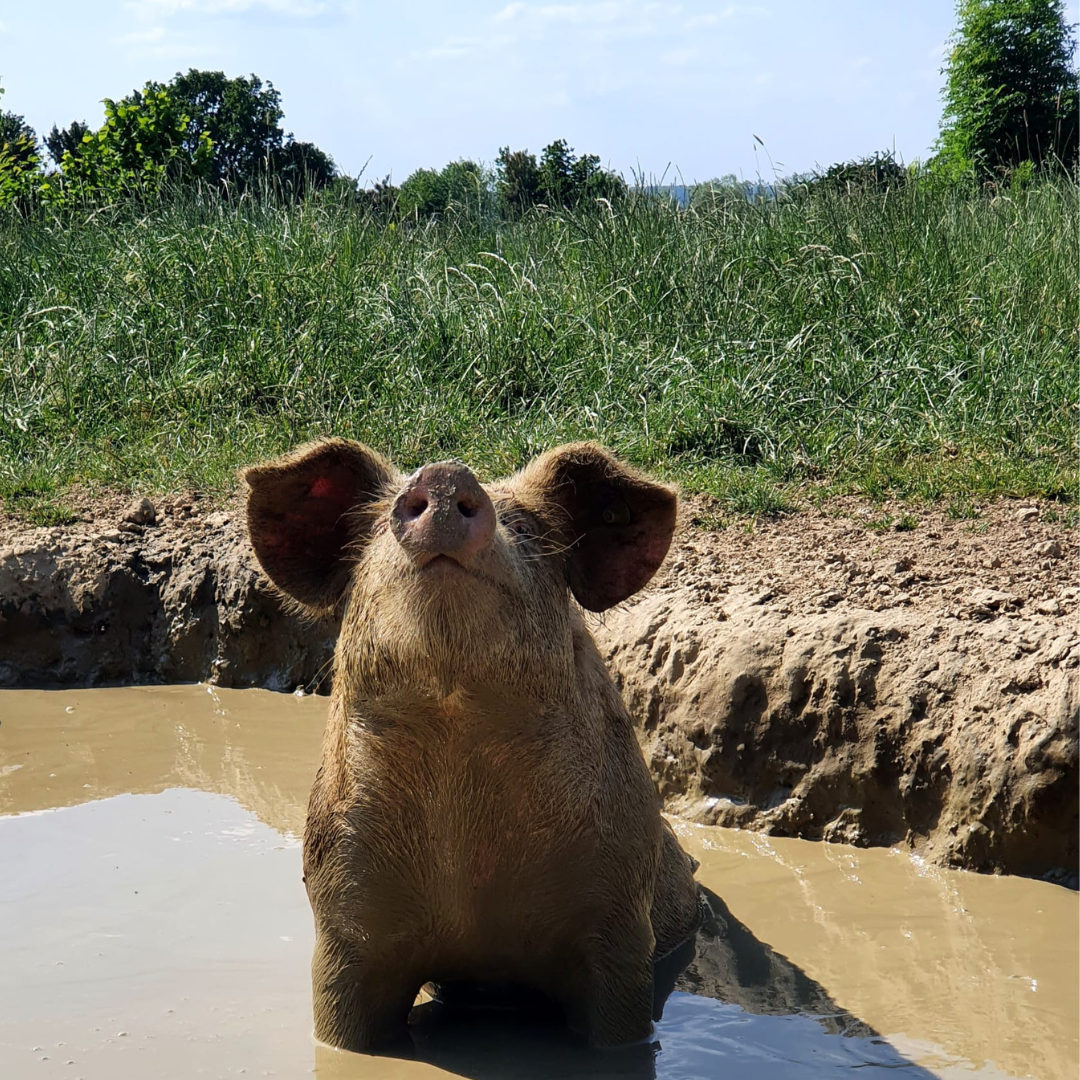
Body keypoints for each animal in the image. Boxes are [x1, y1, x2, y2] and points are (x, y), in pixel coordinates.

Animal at [241, 436, 699, 1045]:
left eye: (527, 528)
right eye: (375, 530)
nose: (444, 475)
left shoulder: (620, 915)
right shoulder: (343, 910)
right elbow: (343, 1032)